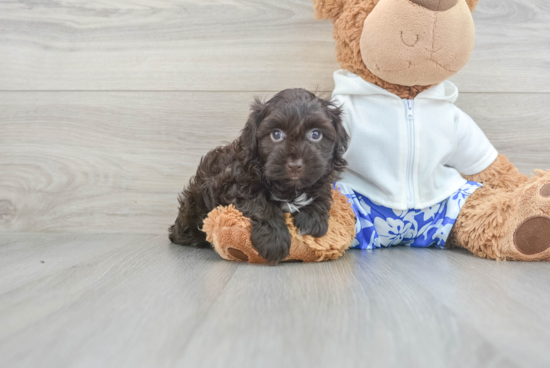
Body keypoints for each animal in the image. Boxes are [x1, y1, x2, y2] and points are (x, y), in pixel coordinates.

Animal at [170, 88, 350, 264]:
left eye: (315, 134)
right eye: (276, 134)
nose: (295, 165)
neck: (288, 188)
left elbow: (321, 193)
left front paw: (312, 220)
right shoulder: (232, 183)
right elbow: (260, 204)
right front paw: (274, 240)